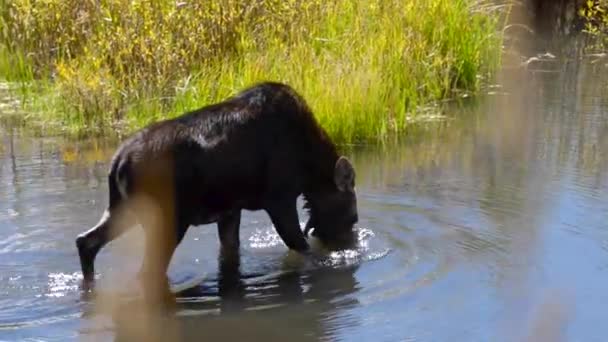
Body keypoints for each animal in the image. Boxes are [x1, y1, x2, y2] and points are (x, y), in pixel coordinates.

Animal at [76, 81, 360, 300]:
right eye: (353, 216)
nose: (350, 246)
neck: (309, 169)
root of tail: (118, 162)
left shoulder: (231, 210)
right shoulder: (279, 199)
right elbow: (302, 248)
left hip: (123, 208)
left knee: (86, 240)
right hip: (167, 219)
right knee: (146, 271)